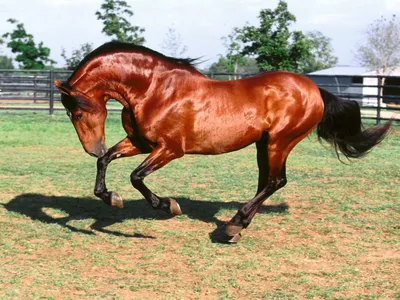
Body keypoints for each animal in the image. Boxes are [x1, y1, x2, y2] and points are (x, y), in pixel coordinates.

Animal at [53, 41, 390, 243]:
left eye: (77, 112)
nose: (91, 147)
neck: (155, 90)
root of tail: (314, 89)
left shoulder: (170, 149)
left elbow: (136, 177)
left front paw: (168, 206)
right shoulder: (141, 142)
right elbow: (106, 161)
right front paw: (112, 197)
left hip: (280, 141)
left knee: (275, 181)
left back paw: (232, 224)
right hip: (263, 144)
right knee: (266, 181)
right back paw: (237, 226)